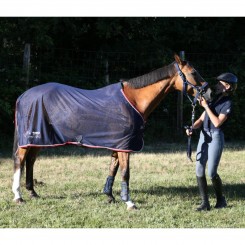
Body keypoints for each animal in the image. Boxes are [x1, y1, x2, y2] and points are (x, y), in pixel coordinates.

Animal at [11, 54, 212, 210]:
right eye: (193, 72)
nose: (208, 93)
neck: (134, 100)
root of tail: (23, 96)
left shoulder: (119, 144)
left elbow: (113, 169)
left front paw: (109, 196)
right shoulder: (125, 146)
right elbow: (125, 173)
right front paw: (129, 203)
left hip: (39, 139)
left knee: (30, 160)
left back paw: (33, 192)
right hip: (30, 139)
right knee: (20, 160)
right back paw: (18, 196)